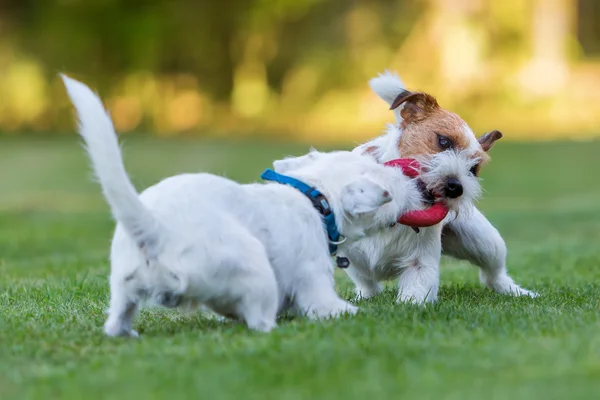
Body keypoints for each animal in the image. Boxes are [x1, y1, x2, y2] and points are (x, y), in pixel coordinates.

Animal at [63, 74, 426, 334]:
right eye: (384, 182)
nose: (414, 181)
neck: (314, 197)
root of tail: (155, 230)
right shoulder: (312, 277)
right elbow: (322, 303)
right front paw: (346, 312)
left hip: (123, 286)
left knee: (117, 320)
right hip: (256, 270)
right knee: (258, 321)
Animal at [350, 71, 536, 300]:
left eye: (474, 169)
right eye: (444, 141)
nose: (456, 187)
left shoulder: (420, 264)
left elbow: (413, 297)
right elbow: (362, 282)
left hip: (486, 243)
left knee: (494, 275)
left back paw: (518, 292)